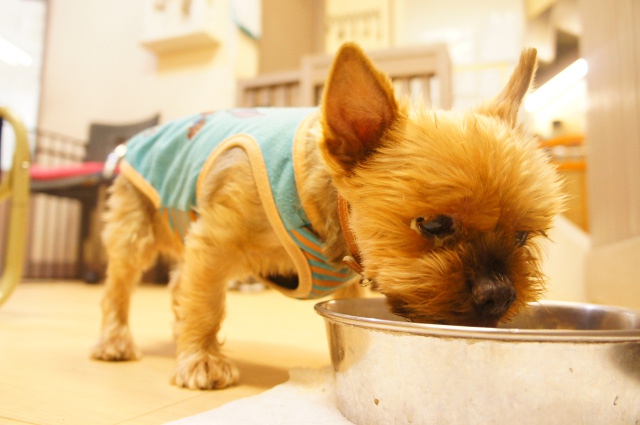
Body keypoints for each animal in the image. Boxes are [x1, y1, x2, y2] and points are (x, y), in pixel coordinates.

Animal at [91, 42, 564, 390]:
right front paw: (202, 360)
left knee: (178, 283)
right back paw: (115, 340)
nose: (500, 294)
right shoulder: (215, 241)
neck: (328, 212)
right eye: (433, 224)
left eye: (522, 237)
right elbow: (205, 304)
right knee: (120, 287)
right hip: (137, 224)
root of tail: (136, 140)